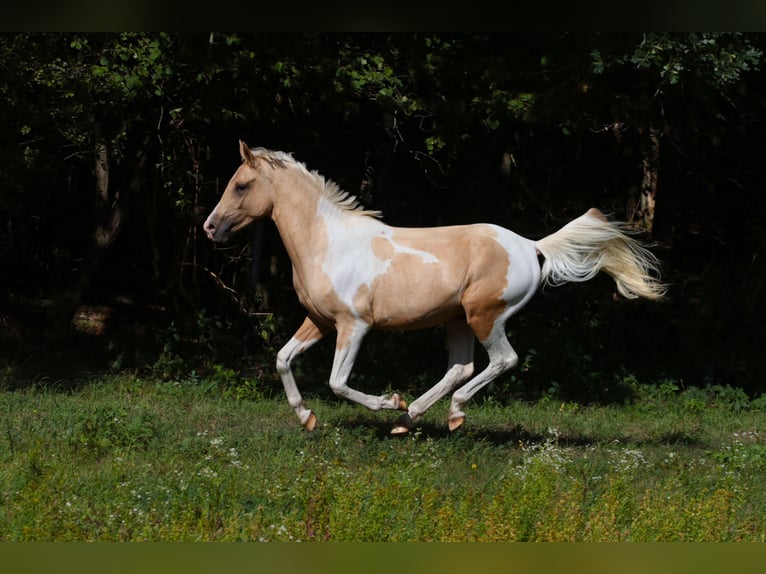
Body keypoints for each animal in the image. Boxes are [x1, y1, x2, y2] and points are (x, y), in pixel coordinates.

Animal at [204, 141, 666, 434]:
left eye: (241, 185)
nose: (210, 227)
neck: (328, 242)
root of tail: (531, 245)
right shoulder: (319, 321)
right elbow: (283, 359)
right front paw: (307, 418)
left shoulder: (354, 326)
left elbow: (337, 382)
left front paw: (389, 400)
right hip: (458, 320)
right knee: (461, 367)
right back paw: (407, 421)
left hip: (485, 315)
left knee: (503, 360)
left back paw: (446, 413)